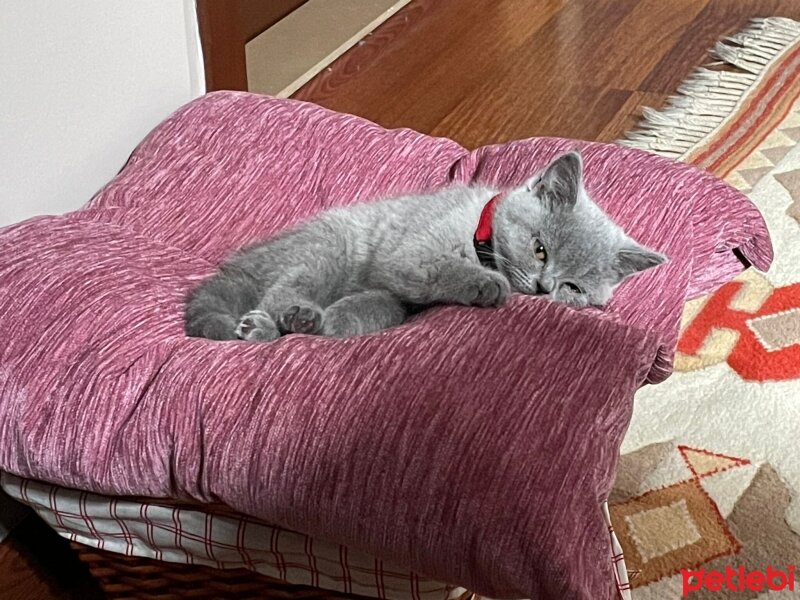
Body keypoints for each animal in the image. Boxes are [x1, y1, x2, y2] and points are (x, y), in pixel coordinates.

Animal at [184, 150, 664, 342]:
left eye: (574, 288)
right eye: (540, 249)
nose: (547, 288)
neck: (478, 232)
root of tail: (240, 262)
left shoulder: (392, 292)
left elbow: (372, 307)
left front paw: (335, 322)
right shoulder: (411, 257)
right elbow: (442, 270)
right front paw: (488, 286)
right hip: (327, 249)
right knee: (278, 291)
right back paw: (285, 318)